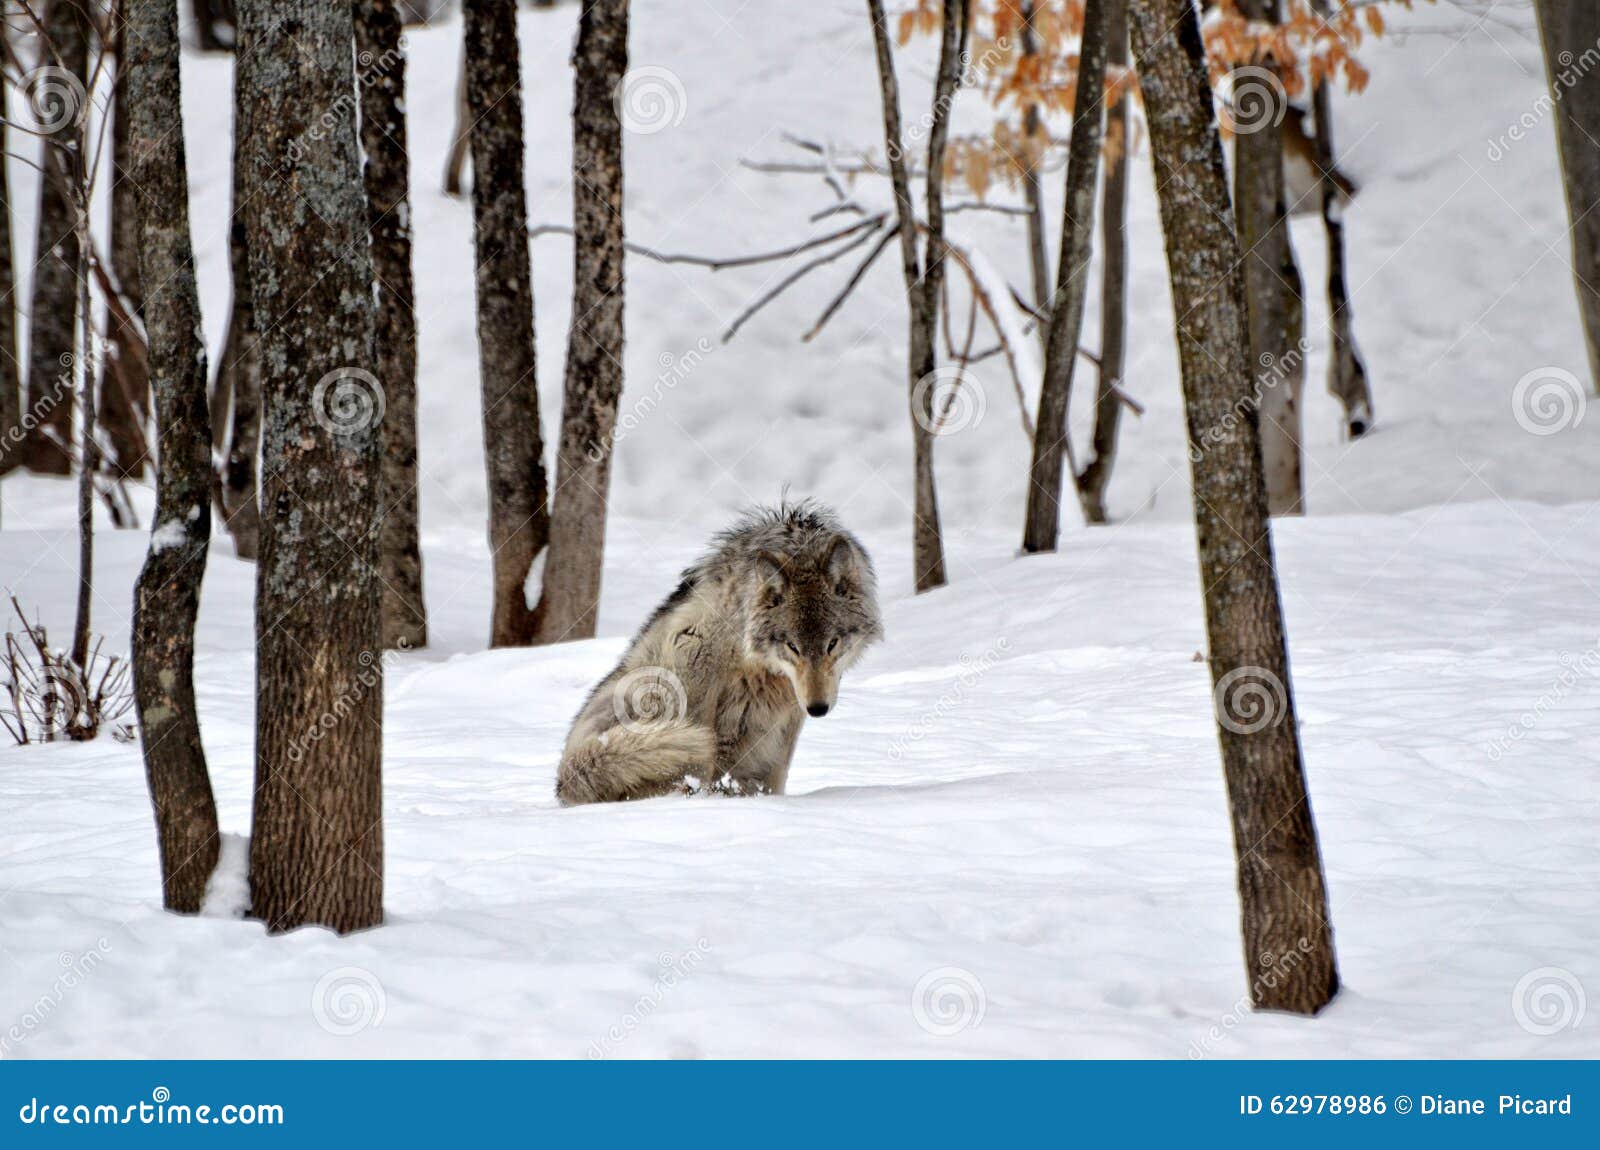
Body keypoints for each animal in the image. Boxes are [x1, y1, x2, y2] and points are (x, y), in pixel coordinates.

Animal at [553, 505, 883, 809]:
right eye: (792, 646)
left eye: (832, 644)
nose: (818, 709)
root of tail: (564, 781)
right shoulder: (690, 648)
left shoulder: (791, 713)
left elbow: (776, 776)